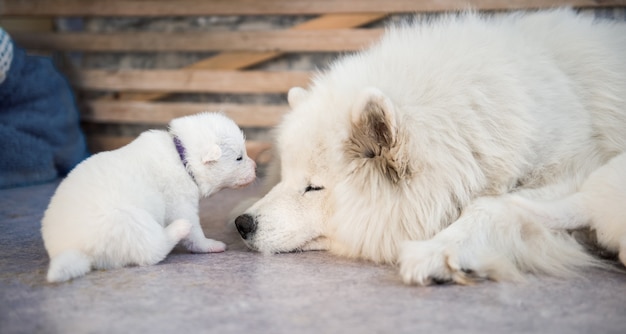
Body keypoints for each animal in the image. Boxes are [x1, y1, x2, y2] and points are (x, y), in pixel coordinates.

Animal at [42, 111, 256, 282]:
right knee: (153, 251)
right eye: (239, 157)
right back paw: (180, 228)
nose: (255, 167)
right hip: (130, 222)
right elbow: (195, 233)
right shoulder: (180, 203)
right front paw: (208, 244)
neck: (182, 158)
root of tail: (71, 250)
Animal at [233, 9, 624, 284]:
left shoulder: (580, 171)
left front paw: (439, 250)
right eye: (285, 177)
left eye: (314, 188)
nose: (242, 224)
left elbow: (490, 206)